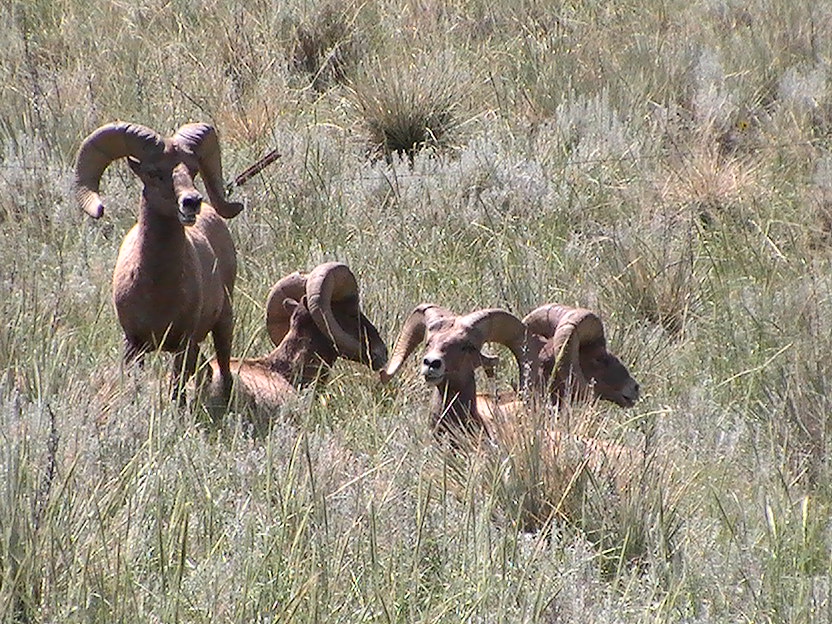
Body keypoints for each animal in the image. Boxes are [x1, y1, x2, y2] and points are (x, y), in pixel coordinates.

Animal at [72, 120, 242, 400]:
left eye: (193, 170)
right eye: (153, 173)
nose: (192, 202)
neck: (157, 291)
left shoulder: (183, 344)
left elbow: (177, 392)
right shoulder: (133, 345)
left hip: (223, 322)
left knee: (224, 369)